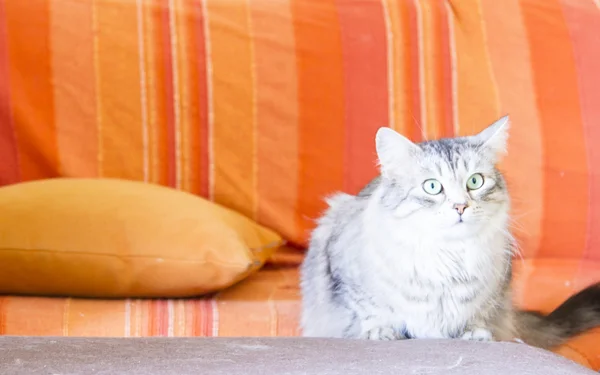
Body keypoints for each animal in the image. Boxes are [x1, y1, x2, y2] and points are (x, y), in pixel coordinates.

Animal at [298, 116, 600, 352]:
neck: (447, 259)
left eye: (475, 181)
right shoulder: (343, 273)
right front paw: (381, 332)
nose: (460, 206)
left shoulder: (493, 295)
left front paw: (475, 334)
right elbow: (368, 312)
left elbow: (478, 317)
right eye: (432, 186)